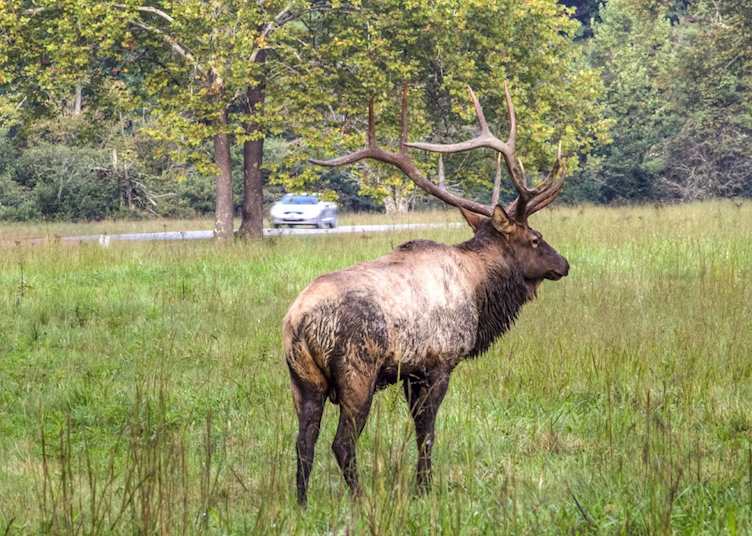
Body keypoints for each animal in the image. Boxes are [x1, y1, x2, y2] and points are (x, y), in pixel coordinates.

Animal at [284, 81, 570, 506]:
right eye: (535, 238)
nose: (563, 264)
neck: (479, 291)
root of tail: (299, 321)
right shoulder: (438, 363)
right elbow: (427, 432)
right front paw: (424, 488)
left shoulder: (409, 373)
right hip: (356, 373)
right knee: (342, 443)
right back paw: (360, 499)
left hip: (302, 379)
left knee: (303, 442)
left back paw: (301, 504)